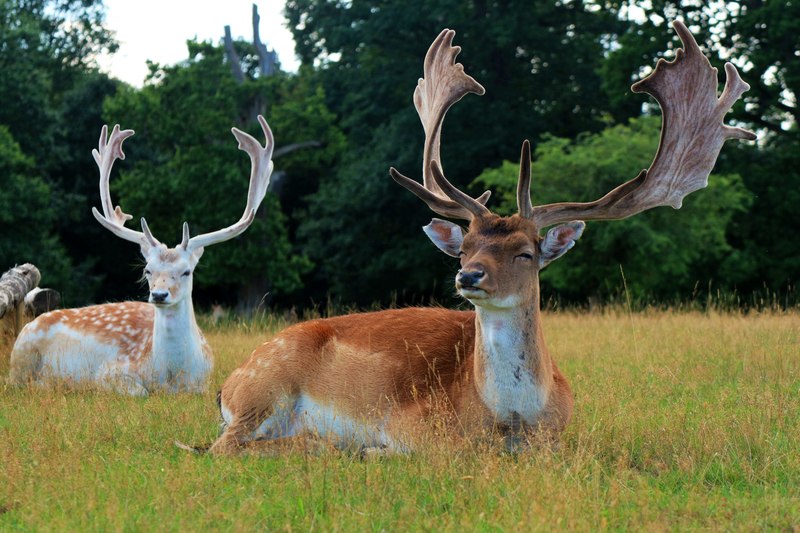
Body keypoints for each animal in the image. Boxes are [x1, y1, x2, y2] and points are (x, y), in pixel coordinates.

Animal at [8, 116, 278, 392]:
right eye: (148, 270)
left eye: (186, 271)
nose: (159, 295)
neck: (171, 376)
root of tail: (31, 319)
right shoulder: (108, 373)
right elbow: (138, 391)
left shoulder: (204, 383)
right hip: (21, 353)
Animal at [203, 20, 752, 454]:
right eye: (464, 248)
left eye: (527, 253)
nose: (468, 276)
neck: (510, 422)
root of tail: (227, 385)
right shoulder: (416, 426)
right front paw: (371, 450)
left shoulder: (557, 439)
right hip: (264, 388)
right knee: (224, 447)